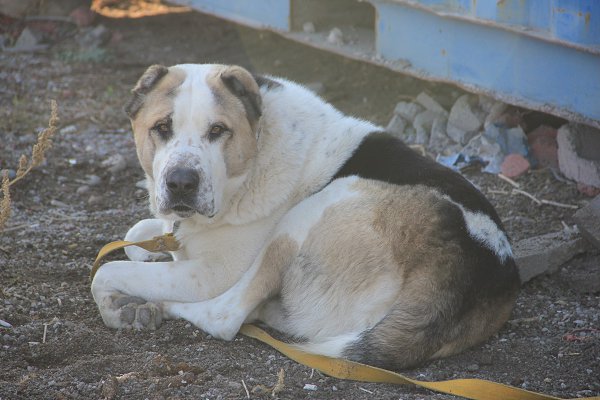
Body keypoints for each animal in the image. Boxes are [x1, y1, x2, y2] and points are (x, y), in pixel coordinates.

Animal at [90, 63, 520, 368]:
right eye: (161, 127)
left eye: (218, 131)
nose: (181, 182)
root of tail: (469, 272)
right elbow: (138, 236)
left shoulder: (211, 273)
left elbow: (106, 272)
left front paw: (118, 309)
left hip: (311, 212)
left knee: (224, 315)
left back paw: (164, 306)